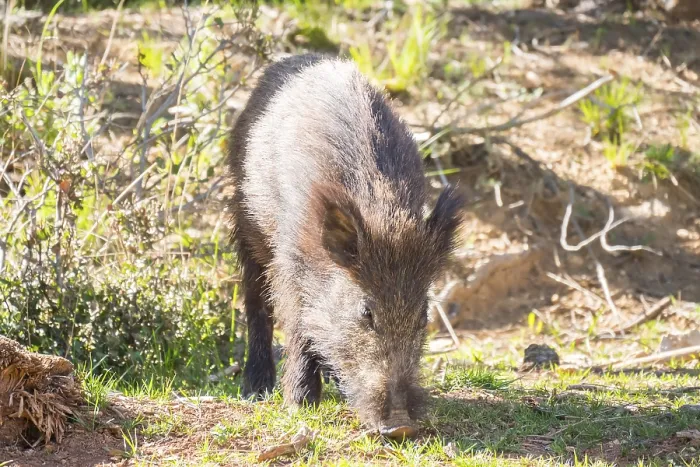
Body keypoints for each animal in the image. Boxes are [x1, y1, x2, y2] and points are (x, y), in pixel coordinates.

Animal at [227, 53, 463, 438]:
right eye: (366, 312)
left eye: (423, 314)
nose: (400, 426)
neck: (383, 213)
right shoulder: (290, 264)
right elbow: (299, 327)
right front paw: (300, 404)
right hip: (246, 221)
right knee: (256, 301)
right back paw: (257, 389)